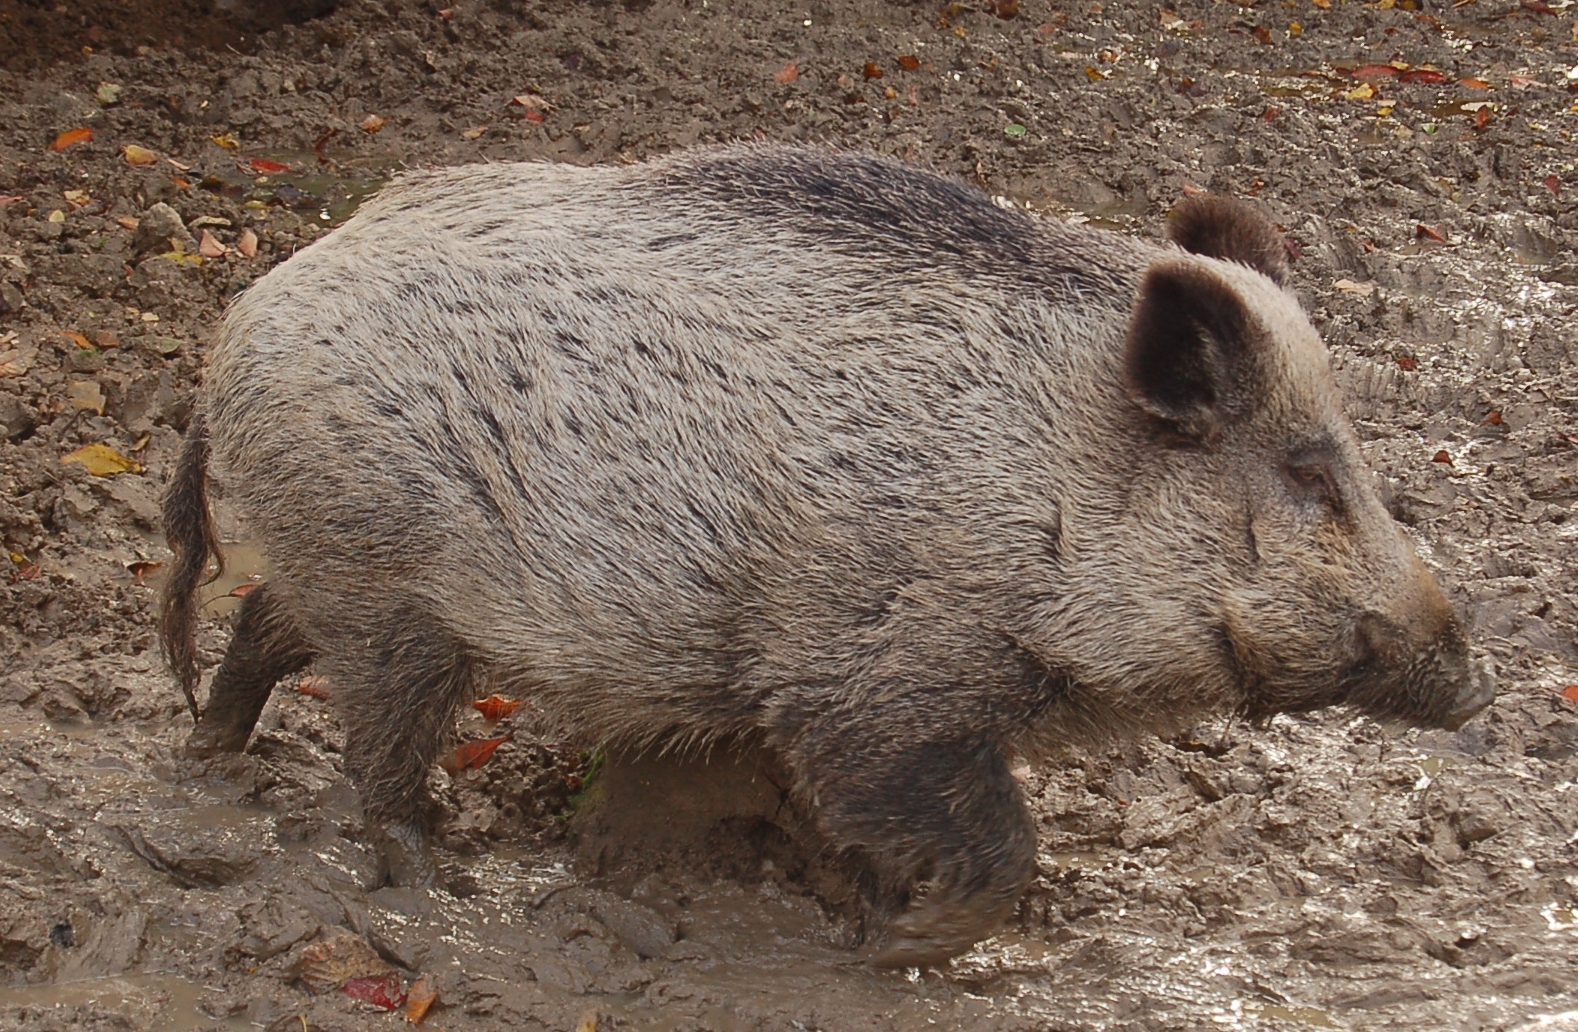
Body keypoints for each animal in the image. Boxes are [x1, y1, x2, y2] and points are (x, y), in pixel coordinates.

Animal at [160, 145, 1493, 967]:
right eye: (1310, 472)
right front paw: (892, 949)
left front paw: (861, 916)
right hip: (389, 587)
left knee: (265, 625)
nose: (1478, 680)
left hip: (343, 567)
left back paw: (209, 753)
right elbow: (987, 837)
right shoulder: (867, 683)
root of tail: (246, 313)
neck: (1047, 483)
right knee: (377, 739)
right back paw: (425, 879)